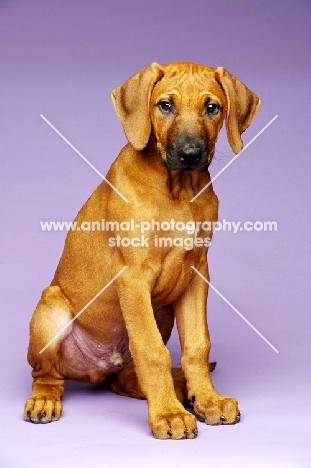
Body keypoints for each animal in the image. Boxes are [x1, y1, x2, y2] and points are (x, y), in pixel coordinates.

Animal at [23, 62, 260, 438]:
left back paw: (180, 389)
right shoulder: (133, 278)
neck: (178, 189)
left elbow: (197, 345)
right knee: (47, 374)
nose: (190, 154)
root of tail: (97, 368)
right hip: (52, 308)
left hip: (161, 311)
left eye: (212, 108)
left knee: (124, 379)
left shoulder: (197, 274)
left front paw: (208, 400)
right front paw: (168, 415)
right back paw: (45, 398)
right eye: (165, 105)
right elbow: (152, 351)